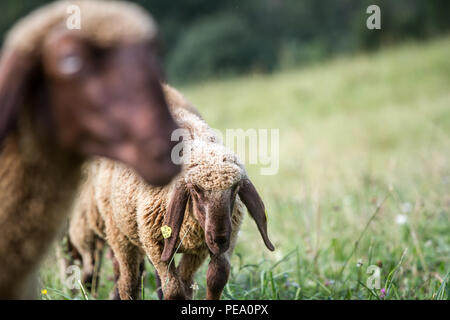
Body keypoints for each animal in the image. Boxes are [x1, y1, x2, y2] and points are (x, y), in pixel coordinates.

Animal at [68, 85, 276, 300]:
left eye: (235, 189)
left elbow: (212, 278)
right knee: (128, 280)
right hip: (119, 234)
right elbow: (175, 289)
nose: (220, 239)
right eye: (196, 189)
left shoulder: (202, 245)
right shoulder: (154, 241)